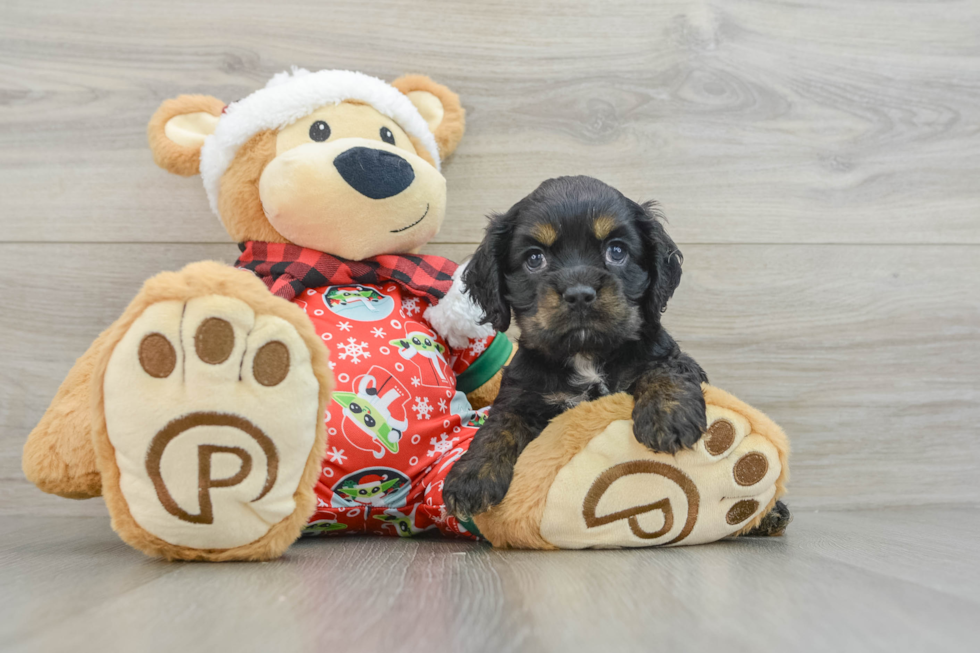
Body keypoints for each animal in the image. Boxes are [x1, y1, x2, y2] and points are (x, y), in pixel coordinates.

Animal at [446, 176, 712, 516]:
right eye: (534, 258)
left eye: (617, 250)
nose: (579, 294)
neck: (586, 355)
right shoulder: (522, 393)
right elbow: (499, 424)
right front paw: (472, 476)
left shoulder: (667, 355)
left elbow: (664, 370)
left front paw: (668, 416)